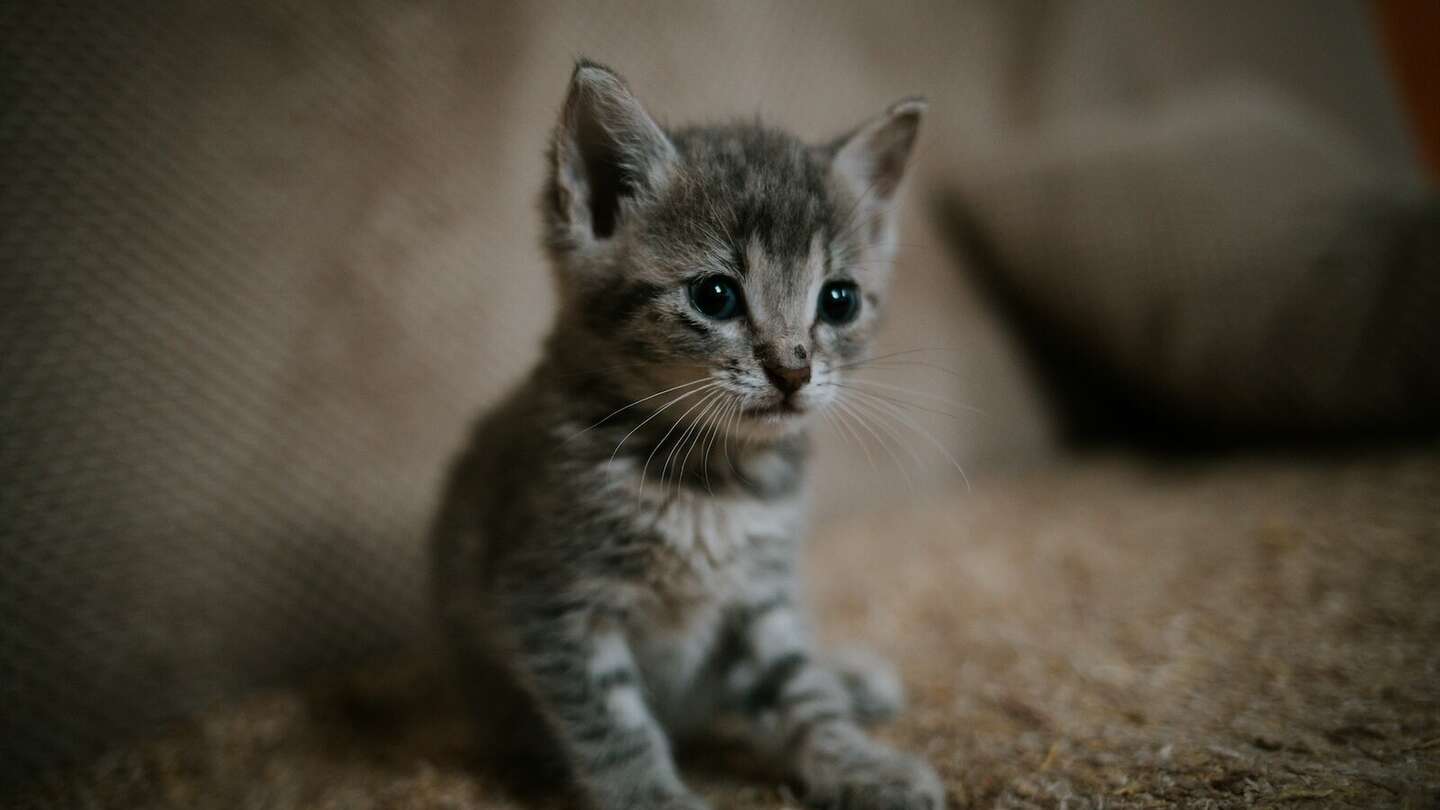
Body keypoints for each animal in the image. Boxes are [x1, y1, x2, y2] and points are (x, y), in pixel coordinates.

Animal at [430, 59, 941, 810]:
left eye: (839, 300)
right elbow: (612, 721)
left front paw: (858, 763)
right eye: (715, 296)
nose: (793, 369)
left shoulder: (760, 596)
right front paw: (652, 797)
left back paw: (851, 677)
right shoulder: (551, 599)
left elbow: (803, 689)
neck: (709, 481)